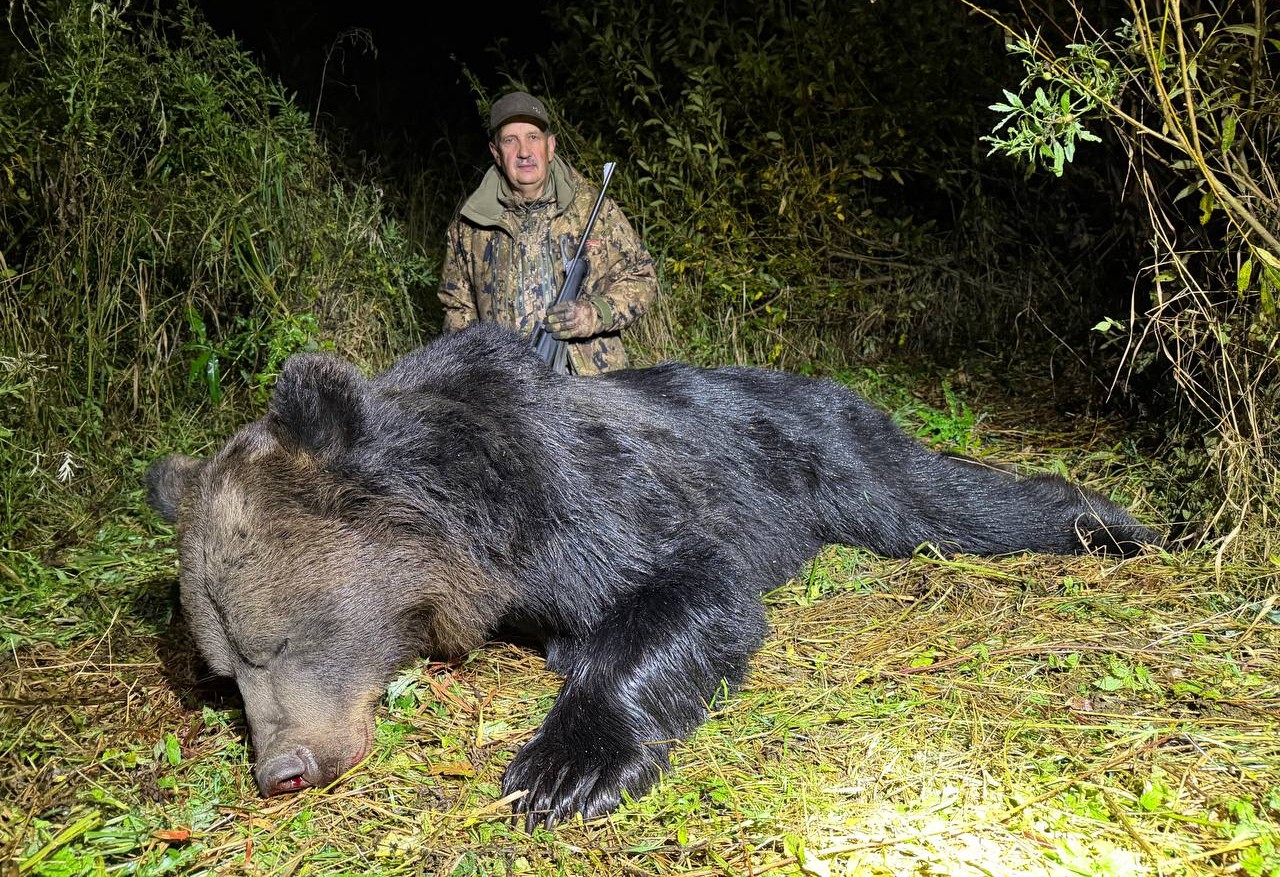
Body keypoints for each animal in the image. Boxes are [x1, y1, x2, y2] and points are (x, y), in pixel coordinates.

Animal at [145, 322, 1161, 829]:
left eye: (281, 637)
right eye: (222, 676)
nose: (282, 768)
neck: (473, 529)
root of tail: (827, 383)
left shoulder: (581, 496)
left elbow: (684, 589)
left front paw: (563, 769)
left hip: (834, 458)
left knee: (945, 501)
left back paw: (1117, 525)